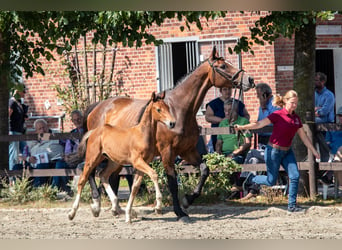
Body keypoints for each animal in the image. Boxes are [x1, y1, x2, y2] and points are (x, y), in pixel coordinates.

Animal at [67, 92, 175, 223]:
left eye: (168, 107)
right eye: (158, 109)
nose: (172, 123)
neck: (142, 134)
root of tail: (94, 131)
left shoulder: (143, 163)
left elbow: (135, 187)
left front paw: (128, 214)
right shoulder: (137, 162)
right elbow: (154, 174)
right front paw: (158, 206)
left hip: (113, 162)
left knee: (103, 175)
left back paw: (116, 206)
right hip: (92, 159)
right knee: (83, 179)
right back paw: (72, 213)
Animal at [83, 46, 254, 221]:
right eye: (223, 66)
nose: (250, 80)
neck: (179, 109)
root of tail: (97, 108)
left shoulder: (187, 151)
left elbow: (204, 170)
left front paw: (187, 200)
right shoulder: (167, 152)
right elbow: (172, 182)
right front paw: (179, 212)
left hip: (116, 157)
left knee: (109, 176)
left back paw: (117, 208)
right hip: (99, 153)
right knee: (91, 172)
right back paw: (97, 205)